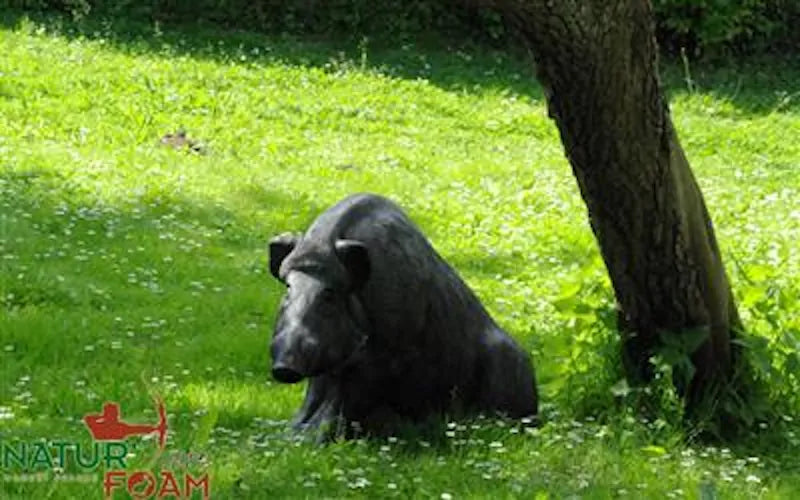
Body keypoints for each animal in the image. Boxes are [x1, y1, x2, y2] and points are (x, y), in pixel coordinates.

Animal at [268, 193, 537, 438]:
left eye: (329, 295)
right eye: (288, 288)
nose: (284, 367)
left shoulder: (387, 357)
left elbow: (343, 401)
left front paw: (315, 441)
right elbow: (315, 395)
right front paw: (291, 436)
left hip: (507, 364)